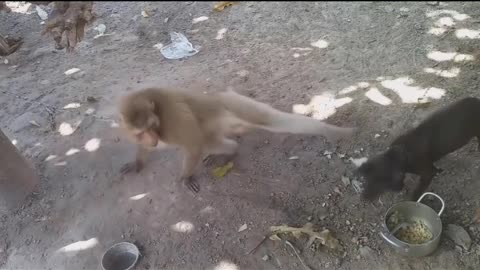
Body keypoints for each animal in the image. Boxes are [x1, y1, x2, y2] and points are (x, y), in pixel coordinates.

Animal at [118, 86, 354, 192]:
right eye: (140, 132)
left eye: (151, 127)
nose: (151, 138)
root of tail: (220, 99)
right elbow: (145, 149)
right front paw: (137, 162)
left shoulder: (175, 121)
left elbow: (193, 145)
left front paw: (186, 177)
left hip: (235, 103)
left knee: (269, 120)